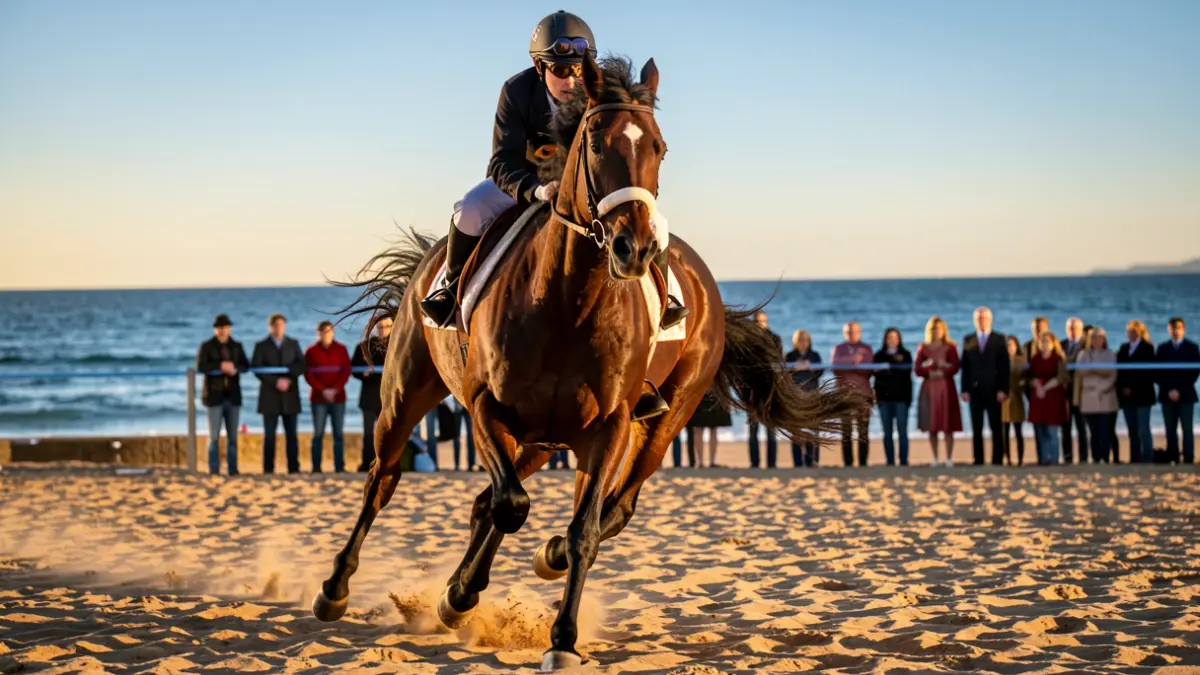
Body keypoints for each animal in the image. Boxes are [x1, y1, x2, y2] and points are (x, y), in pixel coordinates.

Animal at [313, 54, 866, 671]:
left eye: (659, 147)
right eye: (597, 144)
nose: (636, 248)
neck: (568, 303)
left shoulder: (608, 428)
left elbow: (579, 530)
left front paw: (561, 634)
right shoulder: (486, 409)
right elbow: (511, 506)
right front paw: (474, 595)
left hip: (644, 424)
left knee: (596, 509)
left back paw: (477, 587)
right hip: (411, 393)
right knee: (385, 479)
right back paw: (341, 590)